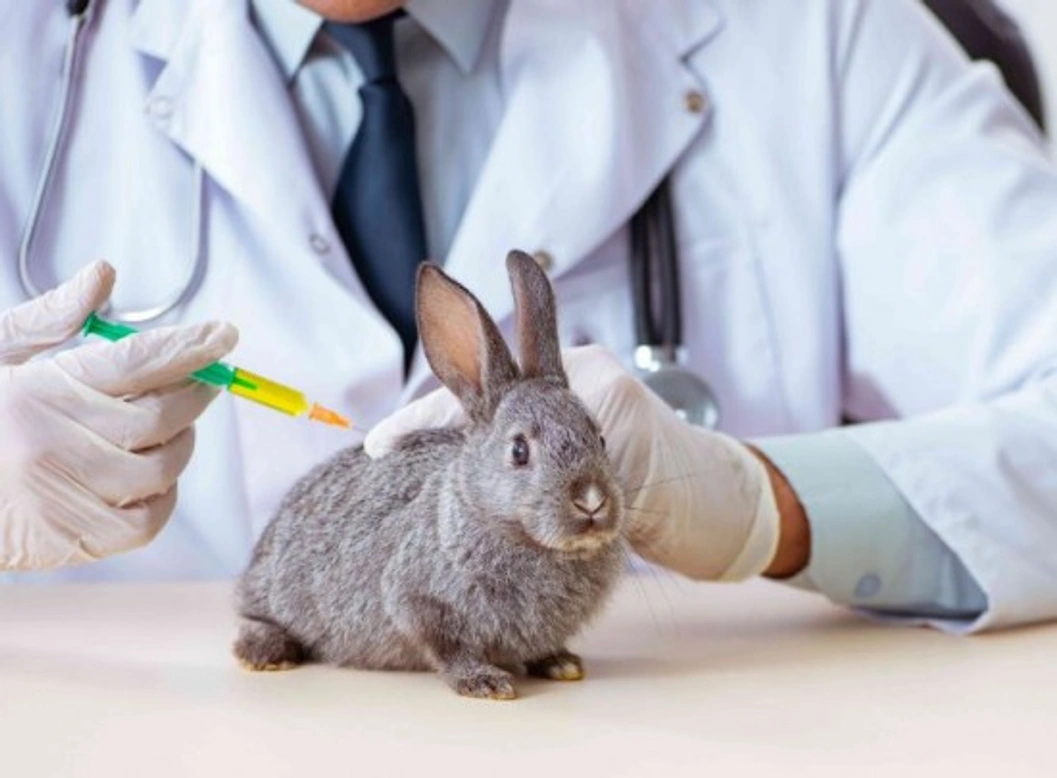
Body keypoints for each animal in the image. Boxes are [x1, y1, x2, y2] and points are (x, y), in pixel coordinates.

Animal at [232, 250, 626, 700]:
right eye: (519, 451)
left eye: (600, 438)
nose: (592, 500)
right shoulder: (417, 599)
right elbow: (446, 645)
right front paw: (485, 682)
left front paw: (561, 663)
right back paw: (267, 653)